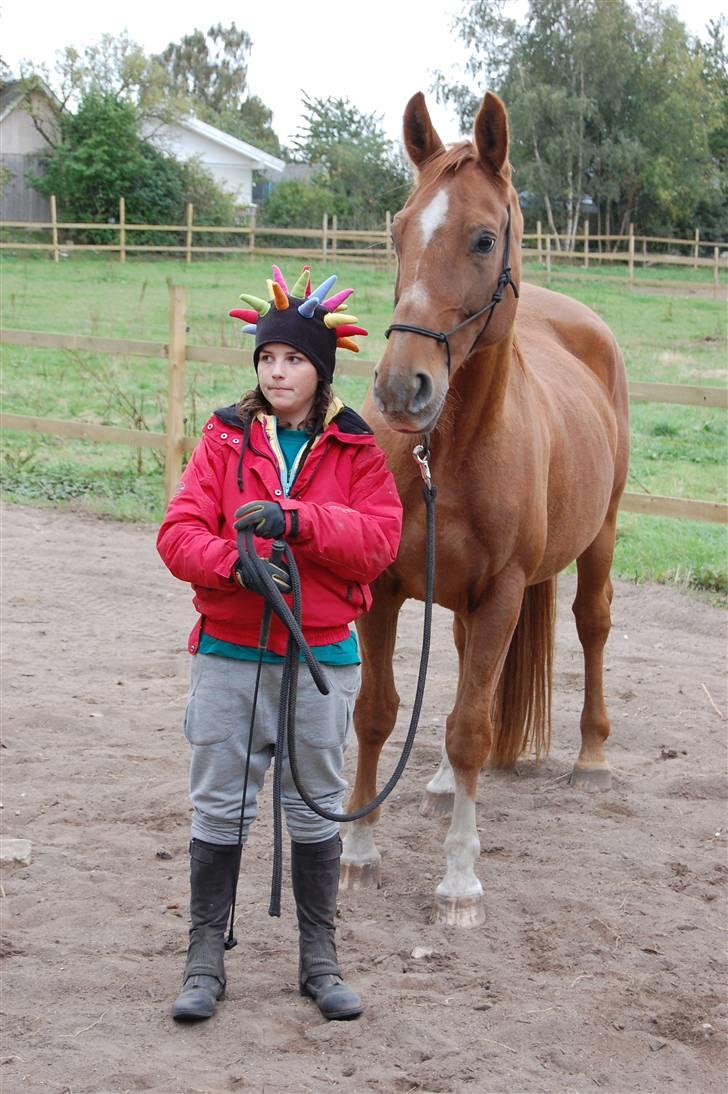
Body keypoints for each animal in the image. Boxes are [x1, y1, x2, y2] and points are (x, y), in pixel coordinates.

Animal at [341, 89, 630, 927]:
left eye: (482, 238)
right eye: (398, 231)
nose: (401, 388)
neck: (451, 454)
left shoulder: (503, 593)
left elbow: (472, 727)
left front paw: (459, 880)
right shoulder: (384, 590)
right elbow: (376, 713)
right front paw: (358, 853)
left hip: (600, 537)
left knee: (591, 627)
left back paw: (592, 757)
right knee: (467, 658)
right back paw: (441, 786)